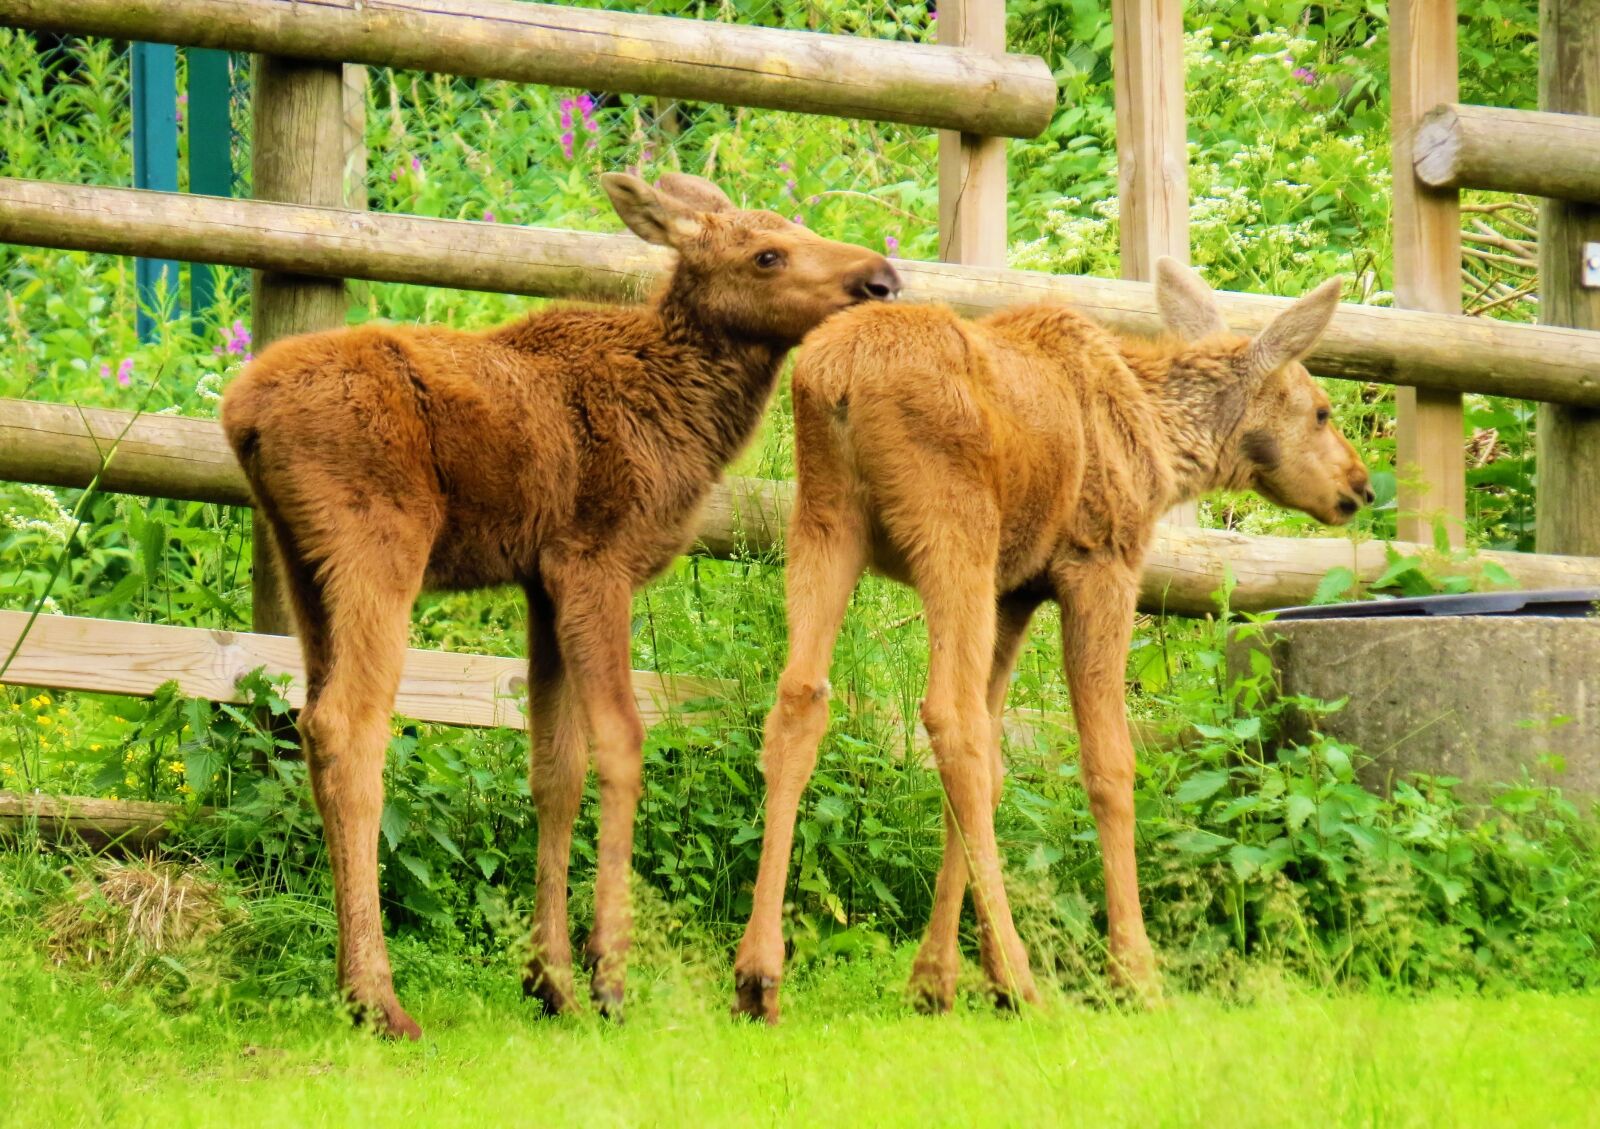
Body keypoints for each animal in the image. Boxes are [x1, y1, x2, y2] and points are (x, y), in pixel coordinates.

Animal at [224, 171, 902, 1036]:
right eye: (767, 255)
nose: (882, 278)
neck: (687, 420)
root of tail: (241, 413)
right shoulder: (593, 563)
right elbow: (623, 744)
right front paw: (609, 972)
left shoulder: (540, 584)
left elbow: (554, 768)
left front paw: (550, 980)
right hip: (377, 548)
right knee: (351, 727)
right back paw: (380, 997)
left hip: (301, 563)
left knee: (312, 723)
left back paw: (354, 987)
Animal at [736, 259, 1376, 1017]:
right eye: (1321, 410)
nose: (1360, 484)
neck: (1164, 444)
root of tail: (834, 377)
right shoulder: (1099, 563)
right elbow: (1108, 766)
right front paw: (1133, 972)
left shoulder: (1014, 592)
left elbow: (994, 772)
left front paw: (938, 978)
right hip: (954, 526)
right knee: (947, 717)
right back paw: (1024, 977)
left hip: (824, 521)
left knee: (802, 698)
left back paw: (758, 973)